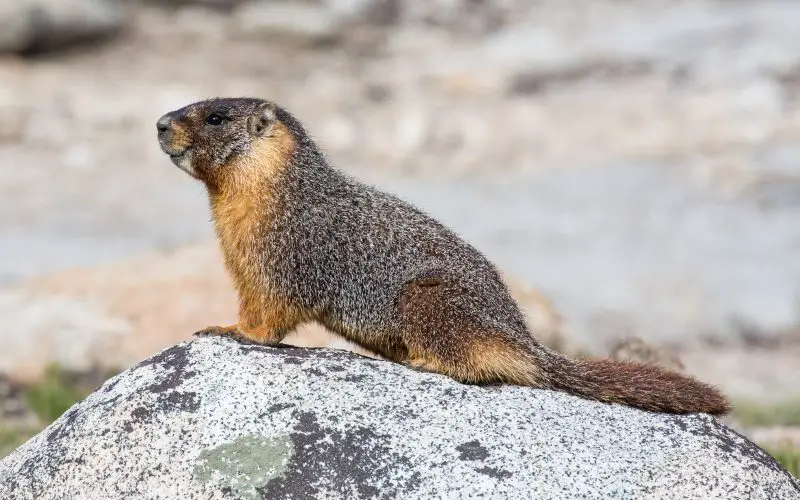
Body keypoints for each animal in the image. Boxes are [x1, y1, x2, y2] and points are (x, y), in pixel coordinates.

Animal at [156, 97, 731, 416]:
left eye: (216, 116)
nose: (159, 123)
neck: (268, 186)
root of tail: (526, 342)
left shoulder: (286, 242)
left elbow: (272, 299)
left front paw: (232, 329)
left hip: (429, 301)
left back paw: (424, 360)